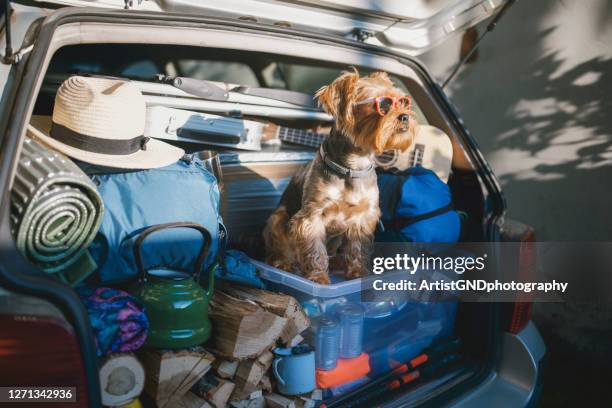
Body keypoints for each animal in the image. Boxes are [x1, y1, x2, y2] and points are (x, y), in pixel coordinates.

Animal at [262, 70, 416, 284]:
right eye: (383, 105)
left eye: (403, 102)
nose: (405, 116)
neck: (352, 166)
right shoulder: (312, 216)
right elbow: (315, 248)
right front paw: (318, 277)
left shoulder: (363, 217)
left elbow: (357, 247)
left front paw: (358, 272)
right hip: (277, 218)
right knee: (280, 247)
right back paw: (283, 262)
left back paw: (337, 262)